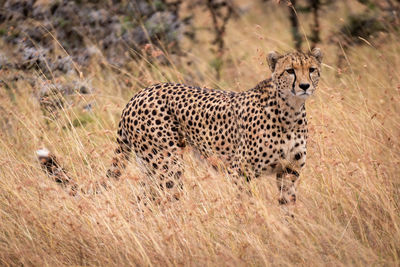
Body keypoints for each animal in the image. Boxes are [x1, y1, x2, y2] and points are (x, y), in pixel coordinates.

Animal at [105, 48, 322, 204]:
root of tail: (140, 93)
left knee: (142, 201)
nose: (304, 86)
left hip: (151, 165)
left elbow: (288, 207)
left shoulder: (289, 171)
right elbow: (246, 205)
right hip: (167, 164)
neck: (290, 111)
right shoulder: (240, 171)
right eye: (290, 71)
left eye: (311, 70)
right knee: (162, 198)